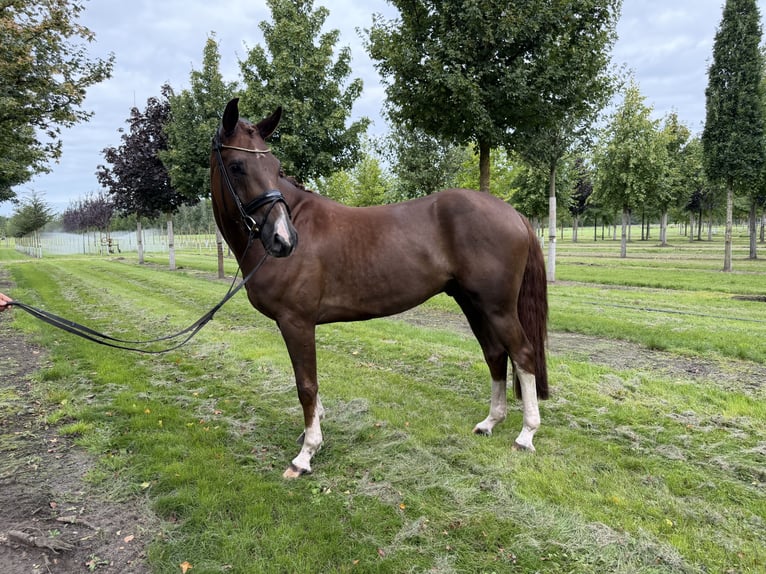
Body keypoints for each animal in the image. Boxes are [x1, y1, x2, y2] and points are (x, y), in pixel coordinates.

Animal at [210, 98, 549, 478]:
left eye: (274, 166)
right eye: (237, 166)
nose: (284, 239)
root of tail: (514, 215)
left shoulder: (296, 321)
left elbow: (306, 384)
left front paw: (306, 454)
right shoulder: (298, 324)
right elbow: (309, 381)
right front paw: (312, 433)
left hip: (498, 307)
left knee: (522, 354)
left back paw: (526, 435)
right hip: (473, 304)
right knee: (495, 354)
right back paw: (490, 422)